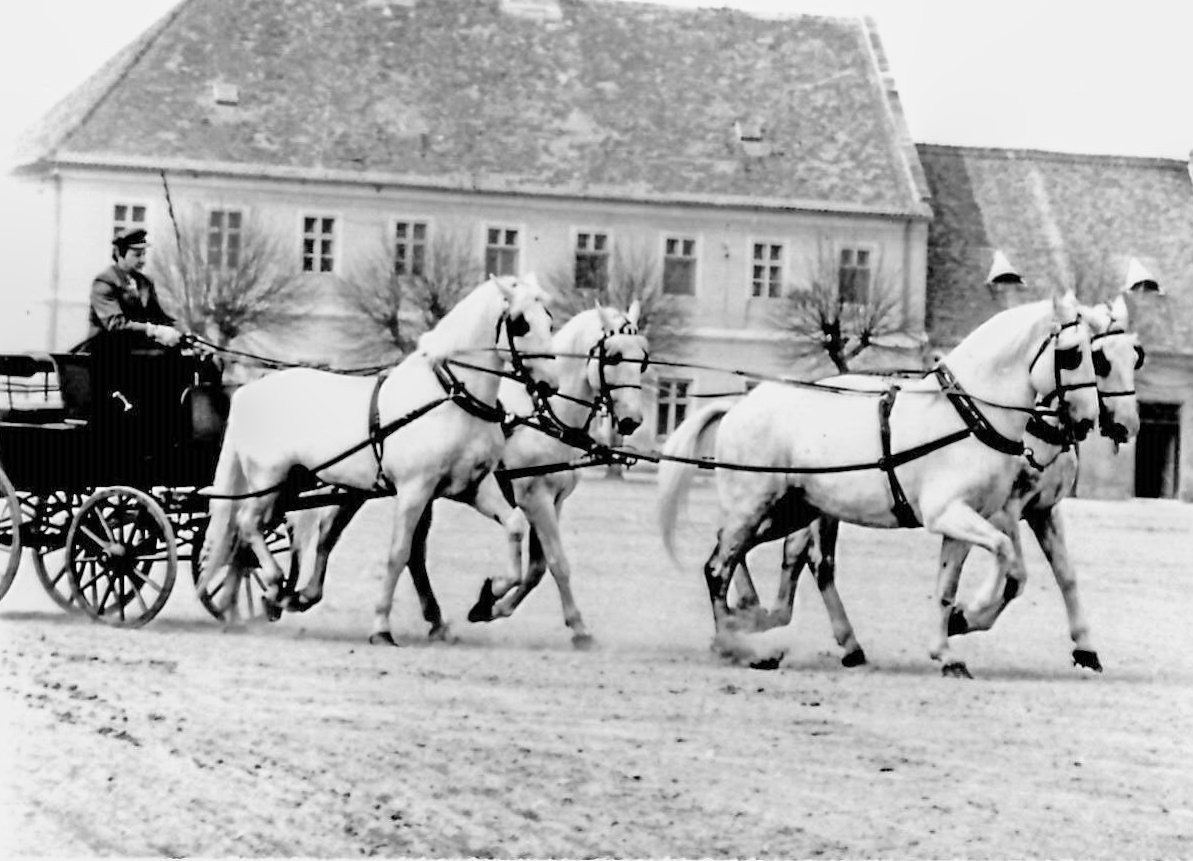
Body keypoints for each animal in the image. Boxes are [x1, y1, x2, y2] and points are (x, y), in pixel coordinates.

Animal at [197, 274, 559, 645]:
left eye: (549, 321)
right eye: (520, 323)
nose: (549, 385)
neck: (448, 398)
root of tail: (247, 391)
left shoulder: (471, 487)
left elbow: (514, 525)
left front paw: (489, 596)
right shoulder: (415, 491)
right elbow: (398, 554)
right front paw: (382, 626)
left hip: (289, 486)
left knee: (248, 535)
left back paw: (255, 601)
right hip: (268, 481)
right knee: (247, 524)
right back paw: (272, 583)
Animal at [282, 302, 649, 648]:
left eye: (643, 359)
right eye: (614, 356)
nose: (631, 420)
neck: (544, 413)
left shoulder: (553, 501)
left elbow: (537, 568)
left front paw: (491, 606)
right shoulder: (535, 498)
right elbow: (557, 562)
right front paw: (577, 627)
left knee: (381, 544)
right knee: (336, 532)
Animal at [657, 290, 1100, 676]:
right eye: (1073, 354)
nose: (1086, 422)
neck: (966, 416)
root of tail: (738, 405)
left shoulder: (965, 520)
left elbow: (948, 587)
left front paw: (947, 651)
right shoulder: (955, 514)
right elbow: (1008, 561)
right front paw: (968, 615)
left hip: (787, 511)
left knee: (741, 555)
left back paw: (753, 618)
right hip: (754, 507)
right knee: (718, 567)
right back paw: (736, 643)